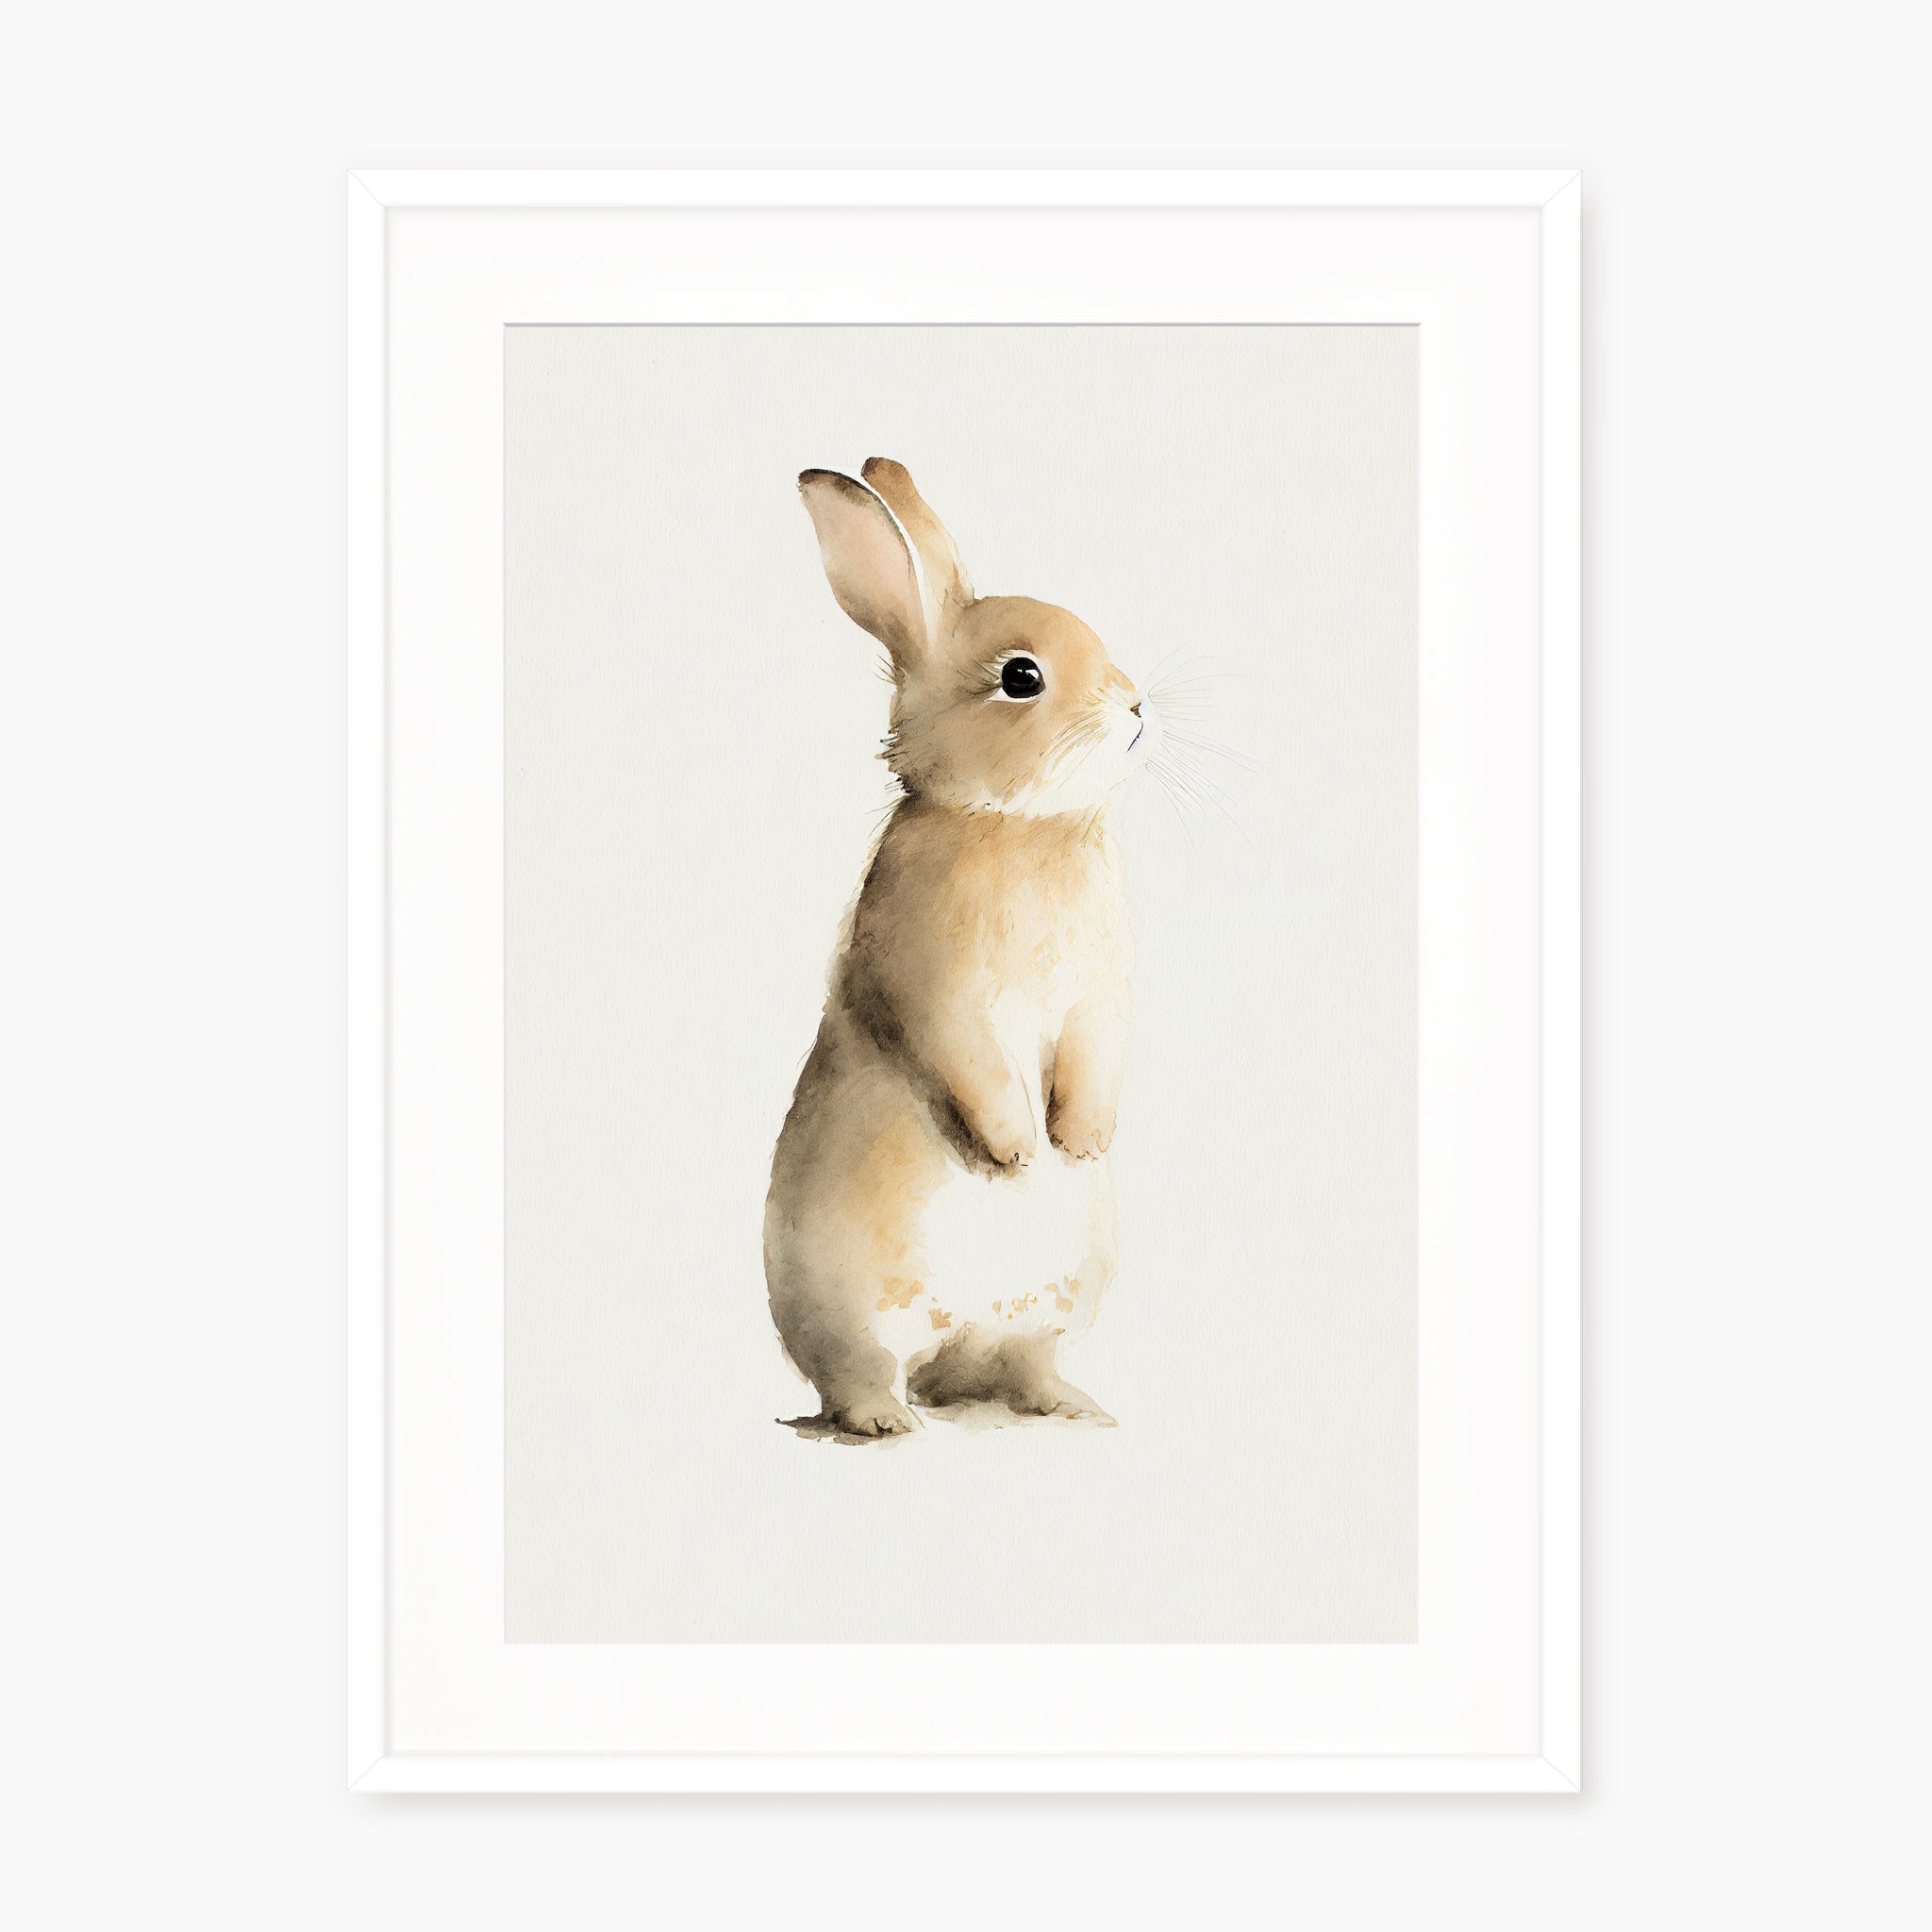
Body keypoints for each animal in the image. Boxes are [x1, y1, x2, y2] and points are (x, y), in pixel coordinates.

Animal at [765, 458, 1153, 1438]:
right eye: (1021, 677)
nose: (1137, 708)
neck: (1013, 824)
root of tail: (952, 1342)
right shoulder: (935, 989)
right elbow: (969, 1060)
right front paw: (1018, 1152)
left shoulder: (1100, 996)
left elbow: (1096, 1053)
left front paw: (1079, 1142)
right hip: (851, 1303)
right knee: (861, 1372)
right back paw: (886, 1423)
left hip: (1057, 1302)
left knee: (1016, 1365)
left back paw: (1072, 1407)